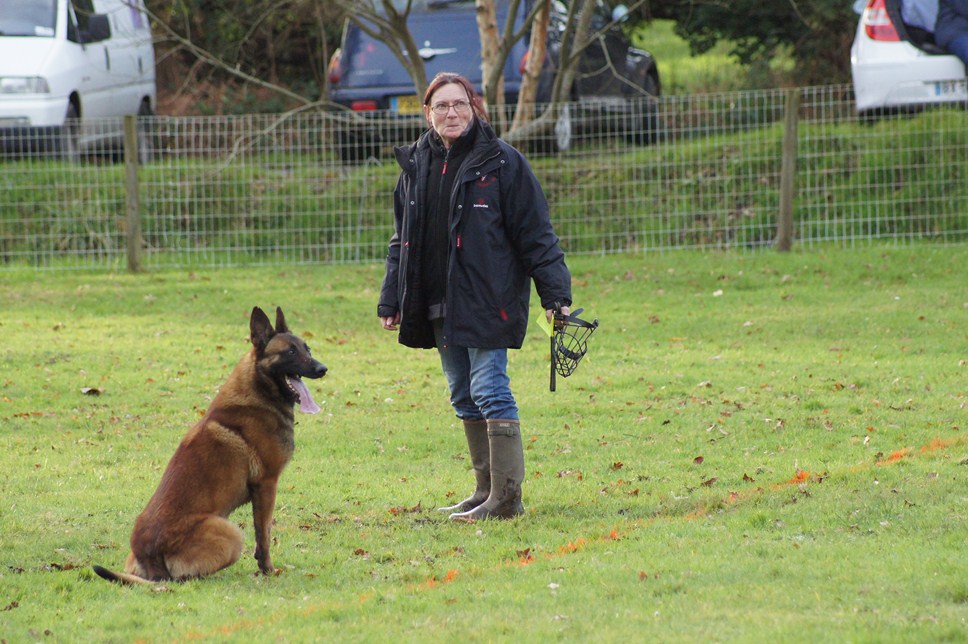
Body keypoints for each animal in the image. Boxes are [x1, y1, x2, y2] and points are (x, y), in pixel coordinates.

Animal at [94, 306, 328, 584]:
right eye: (290, 352)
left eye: (307, 349)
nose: (323, 368)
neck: (259, 392)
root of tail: (150, 558)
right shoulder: (267, 485)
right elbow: (264, 535)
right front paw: (268, 570)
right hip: (230, 532)